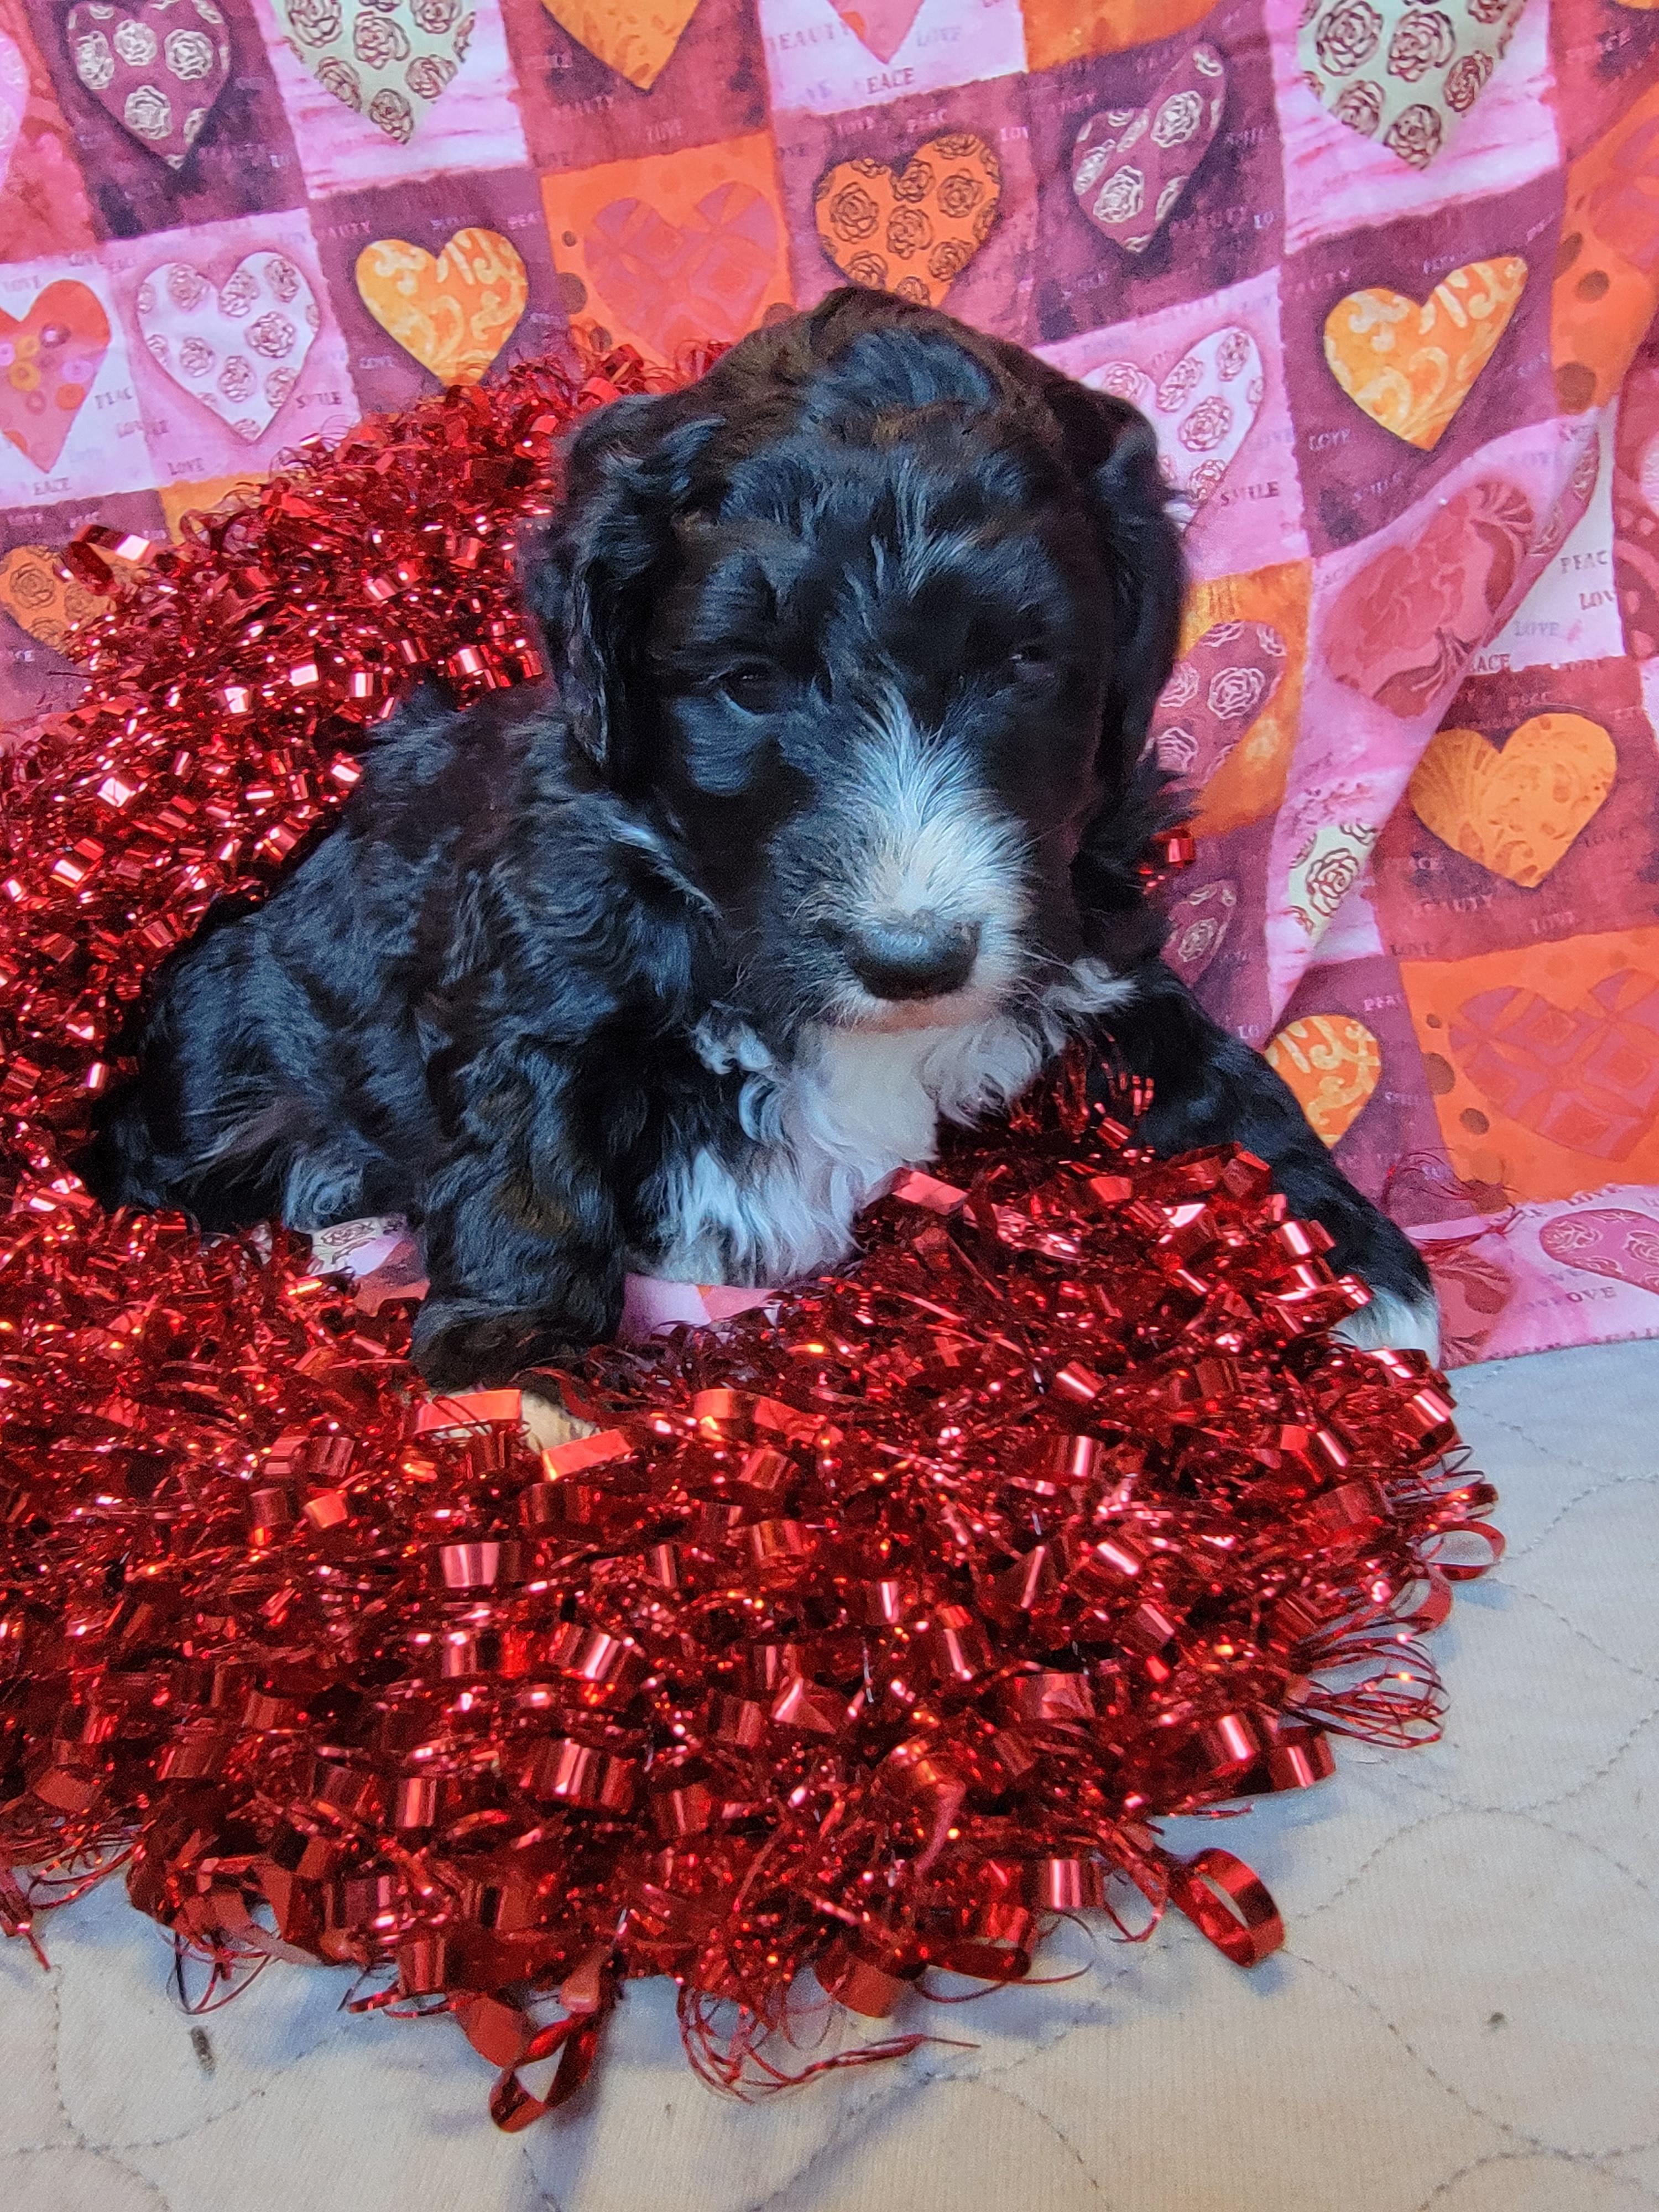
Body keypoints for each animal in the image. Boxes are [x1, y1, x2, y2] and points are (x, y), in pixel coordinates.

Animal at [83, 288, 1438, 1390]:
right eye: (747, 684)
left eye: (1020, 663)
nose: (913, 960)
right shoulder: (539, 957)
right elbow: (530, 1143)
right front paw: (514, 1354)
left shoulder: (1085, 915)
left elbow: (1216, 1065)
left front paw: (1355, 1262)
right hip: (226, 1044)